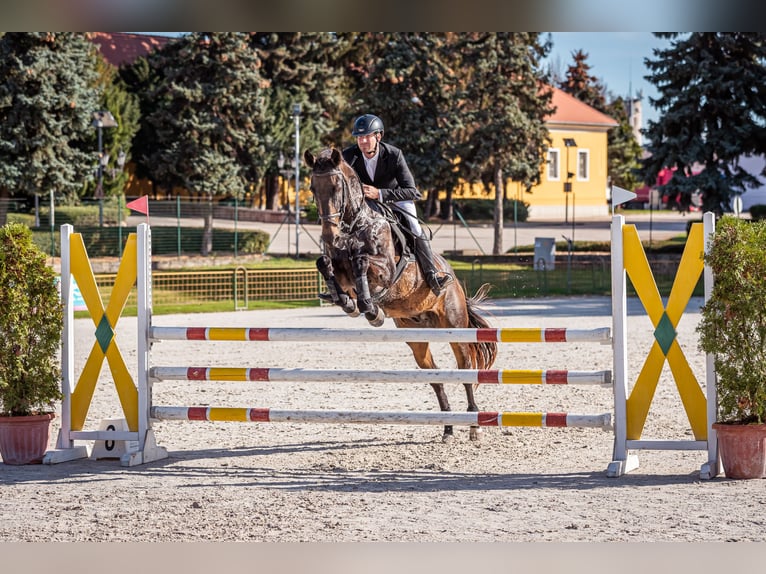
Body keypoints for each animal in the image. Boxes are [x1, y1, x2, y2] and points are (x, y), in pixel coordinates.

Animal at [304, 146, 500, 444]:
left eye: (337, 187)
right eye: (313, 188)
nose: (329, 236)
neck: (356, 225)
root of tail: (454, 279)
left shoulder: (385, 269)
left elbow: (362, 262)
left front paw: (371, 308)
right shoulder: (340, 270)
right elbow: (325, 264)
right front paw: (347, 302)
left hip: (455, 326)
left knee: (465, 368)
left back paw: (473, 425)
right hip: (417, 338)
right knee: (434, 375)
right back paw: (448, 427)